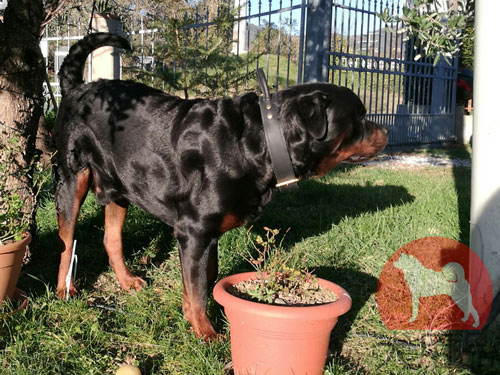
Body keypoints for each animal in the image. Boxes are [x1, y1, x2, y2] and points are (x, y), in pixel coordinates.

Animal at [52, 31, 388, 338]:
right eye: (360, 117)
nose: (385, 132)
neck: (262, 142)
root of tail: (77, 88)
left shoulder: (207, 236)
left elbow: (205, 279)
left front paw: (192, 316)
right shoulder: (194, 231)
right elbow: (199, 287)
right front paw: (205, 333)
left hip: (119, 185)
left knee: (111, 238)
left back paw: (125, 280)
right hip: (71, 178)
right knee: (66, 241)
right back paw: (64, 290)